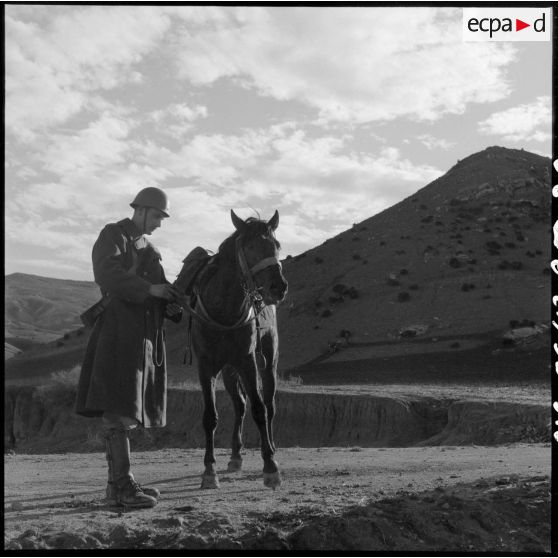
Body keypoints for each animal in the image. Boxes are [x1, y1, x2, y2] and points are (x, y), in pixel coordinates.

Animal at [175, 210, 288, 490]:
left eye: (277, 245)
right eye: (250, 247)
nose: (278, 287)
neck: (224, 309)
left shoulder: (247, 362)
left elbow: (260, 410)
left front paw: (270, 467)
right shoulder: (206, 366)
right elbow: (210, 416)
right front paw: (209, 470)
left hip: (267, 361)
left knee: (268, 404)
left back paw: (270, 447)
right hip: (228, 371)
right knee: (240, 405)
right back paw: (236, 456)